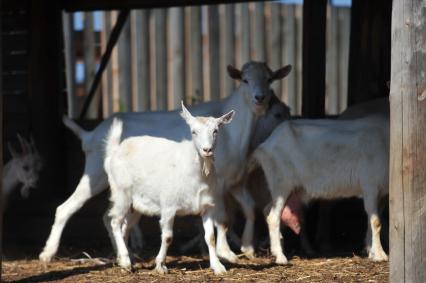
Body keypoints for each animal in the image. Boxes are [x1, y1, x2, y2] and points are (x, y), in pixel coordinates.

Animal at [105, 104, 235, 276]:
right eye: (193, 131)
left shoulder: (207, 206)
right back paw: (126, 261)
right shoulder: (168, 205)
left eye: (216, 131)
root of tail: (114, 152)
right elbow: (167, 237)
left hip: (135, 204)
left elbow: (210, 237)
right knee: (114, 221)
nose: (207, 150)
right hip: (121, 192)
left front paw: (218, 267)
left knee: (125, 227)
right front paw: (160, 265)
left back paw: (126, 259)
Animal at [251, 116, 392, 264]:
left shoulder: (381, 194)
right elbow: (376, 222)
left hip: (288, 188)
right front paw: (380, 255)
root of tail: (265, 145)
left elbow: (371, 220)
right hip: (281, 183)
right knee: (273, 216)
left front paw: (371, 251)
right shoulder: (370, 186)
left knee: (267, 210)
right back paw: (280, 257)